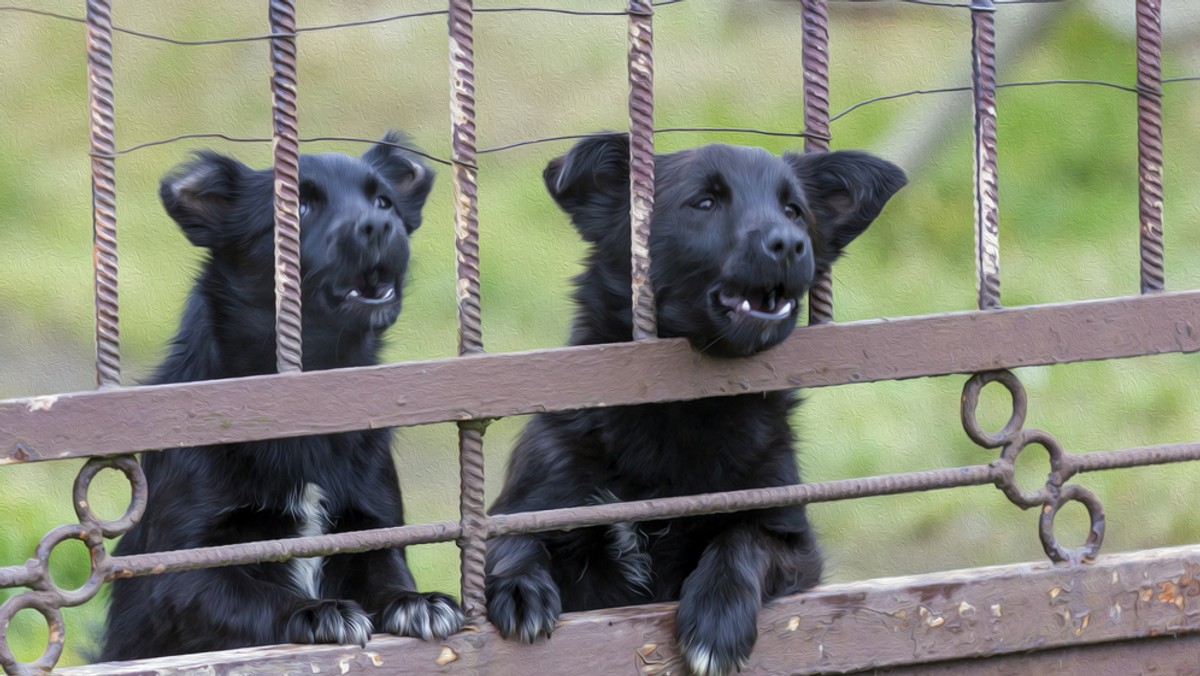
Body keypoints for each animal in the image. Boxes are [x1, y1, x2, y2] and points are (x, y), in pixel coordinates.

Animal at [102, 130, 463, 662]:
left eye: (384, 202)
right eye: (298, 207)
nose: (380, 225)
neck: (309, 397)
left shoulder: (374, 529)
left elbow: (387, 574)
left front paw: (417, 601)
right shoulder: (179, 574)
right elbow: (252, 594)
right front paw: (316, 611)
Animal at [482, 133, 902, 676]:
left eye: (793, 211)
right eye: (704, 203)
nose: (790, 243)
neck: (681, 411)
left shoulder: (793, 540)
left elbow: (742, 540)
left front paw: (717, 617)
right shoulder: (532, 502)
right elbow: (511, 538)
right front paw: (519, 585)